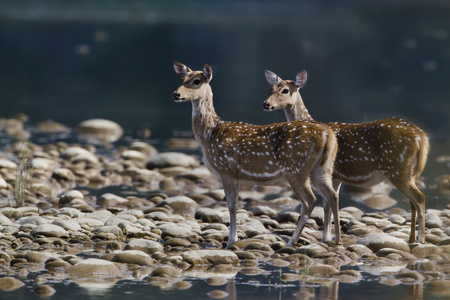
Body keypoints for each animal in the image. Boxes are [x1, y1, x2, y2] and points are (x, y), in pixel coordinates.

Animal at [172, 61, 342, 248]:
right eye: (182, 79)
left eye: (196, 81)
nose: (176, 94)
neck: (211, 134)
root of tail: (327, 134)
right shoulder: (235, 175)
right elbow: (235, 204)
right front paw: (233, 239)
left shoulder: (225, 170)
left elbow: (231, 205)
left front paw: (231, 241)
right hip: (322, 169)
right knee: (332, 196)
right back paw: (337, 240)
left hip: (295, 169)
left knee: (310, 200)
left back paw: (291, 242)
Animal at [266, 69, 430, 243]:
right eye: (271, 88)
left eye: (285, 90)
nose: (266, 104)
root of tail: (422, 137)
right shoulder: (336, 176)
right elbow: (327, 205)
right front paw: (327, 237)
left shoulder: (331, 174)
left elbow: (328, 204)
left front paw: (328, 238)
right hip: (409, 172)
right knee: (412, 201)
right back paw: (411, 238)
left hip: (397, 168)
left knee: (419, 198)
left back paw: (421, 239)